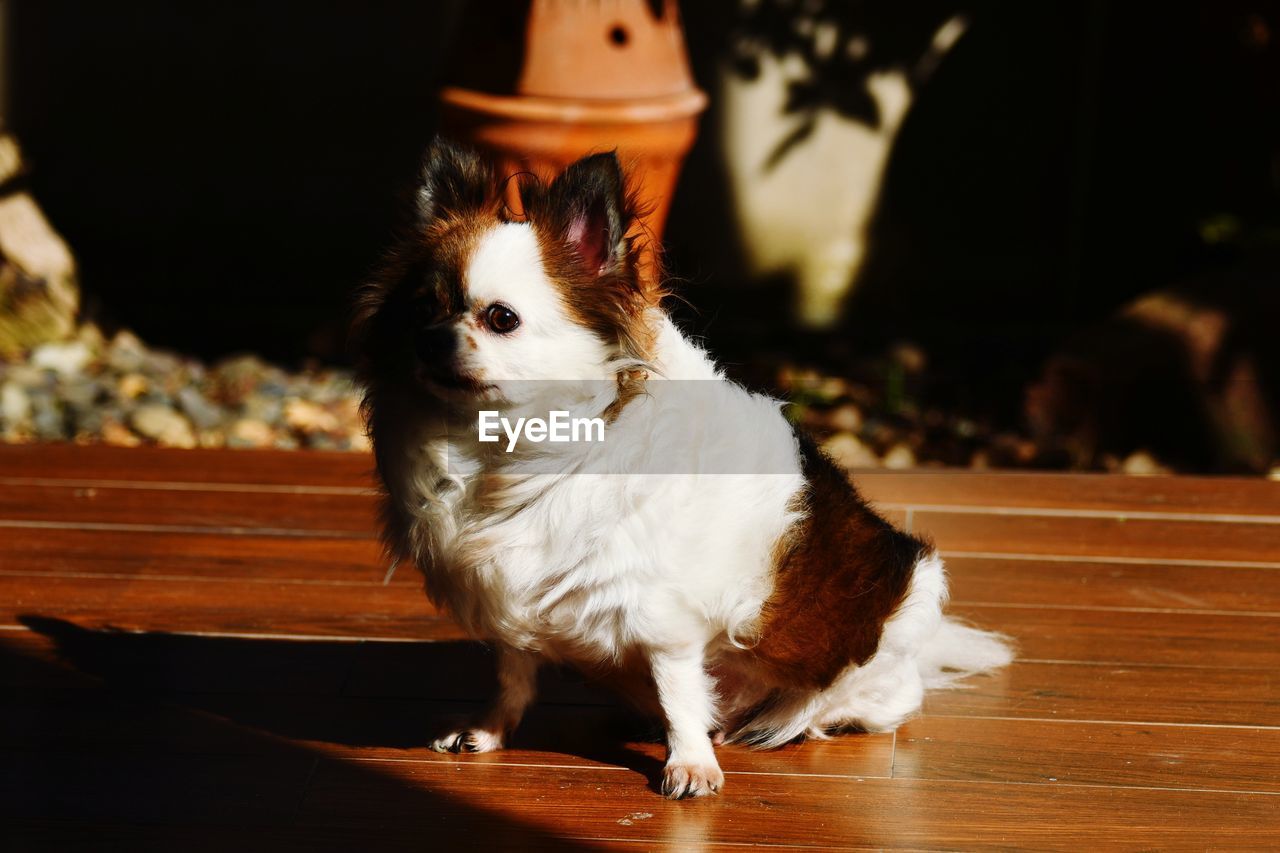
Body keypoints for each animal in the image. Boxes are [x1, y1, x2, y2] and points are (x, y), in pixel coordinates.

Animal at [353, 140, 1008, 799]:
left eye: (501, 319)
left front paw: (690, 761)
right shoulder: (511, 601)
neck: (505, 449)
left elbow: (679, 692)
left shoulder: (663, 617)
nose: (432, 339)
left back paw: (795, 722)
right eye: (420, 311)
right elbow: (514, 673)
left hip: (898, 616)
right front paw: (490, 731)